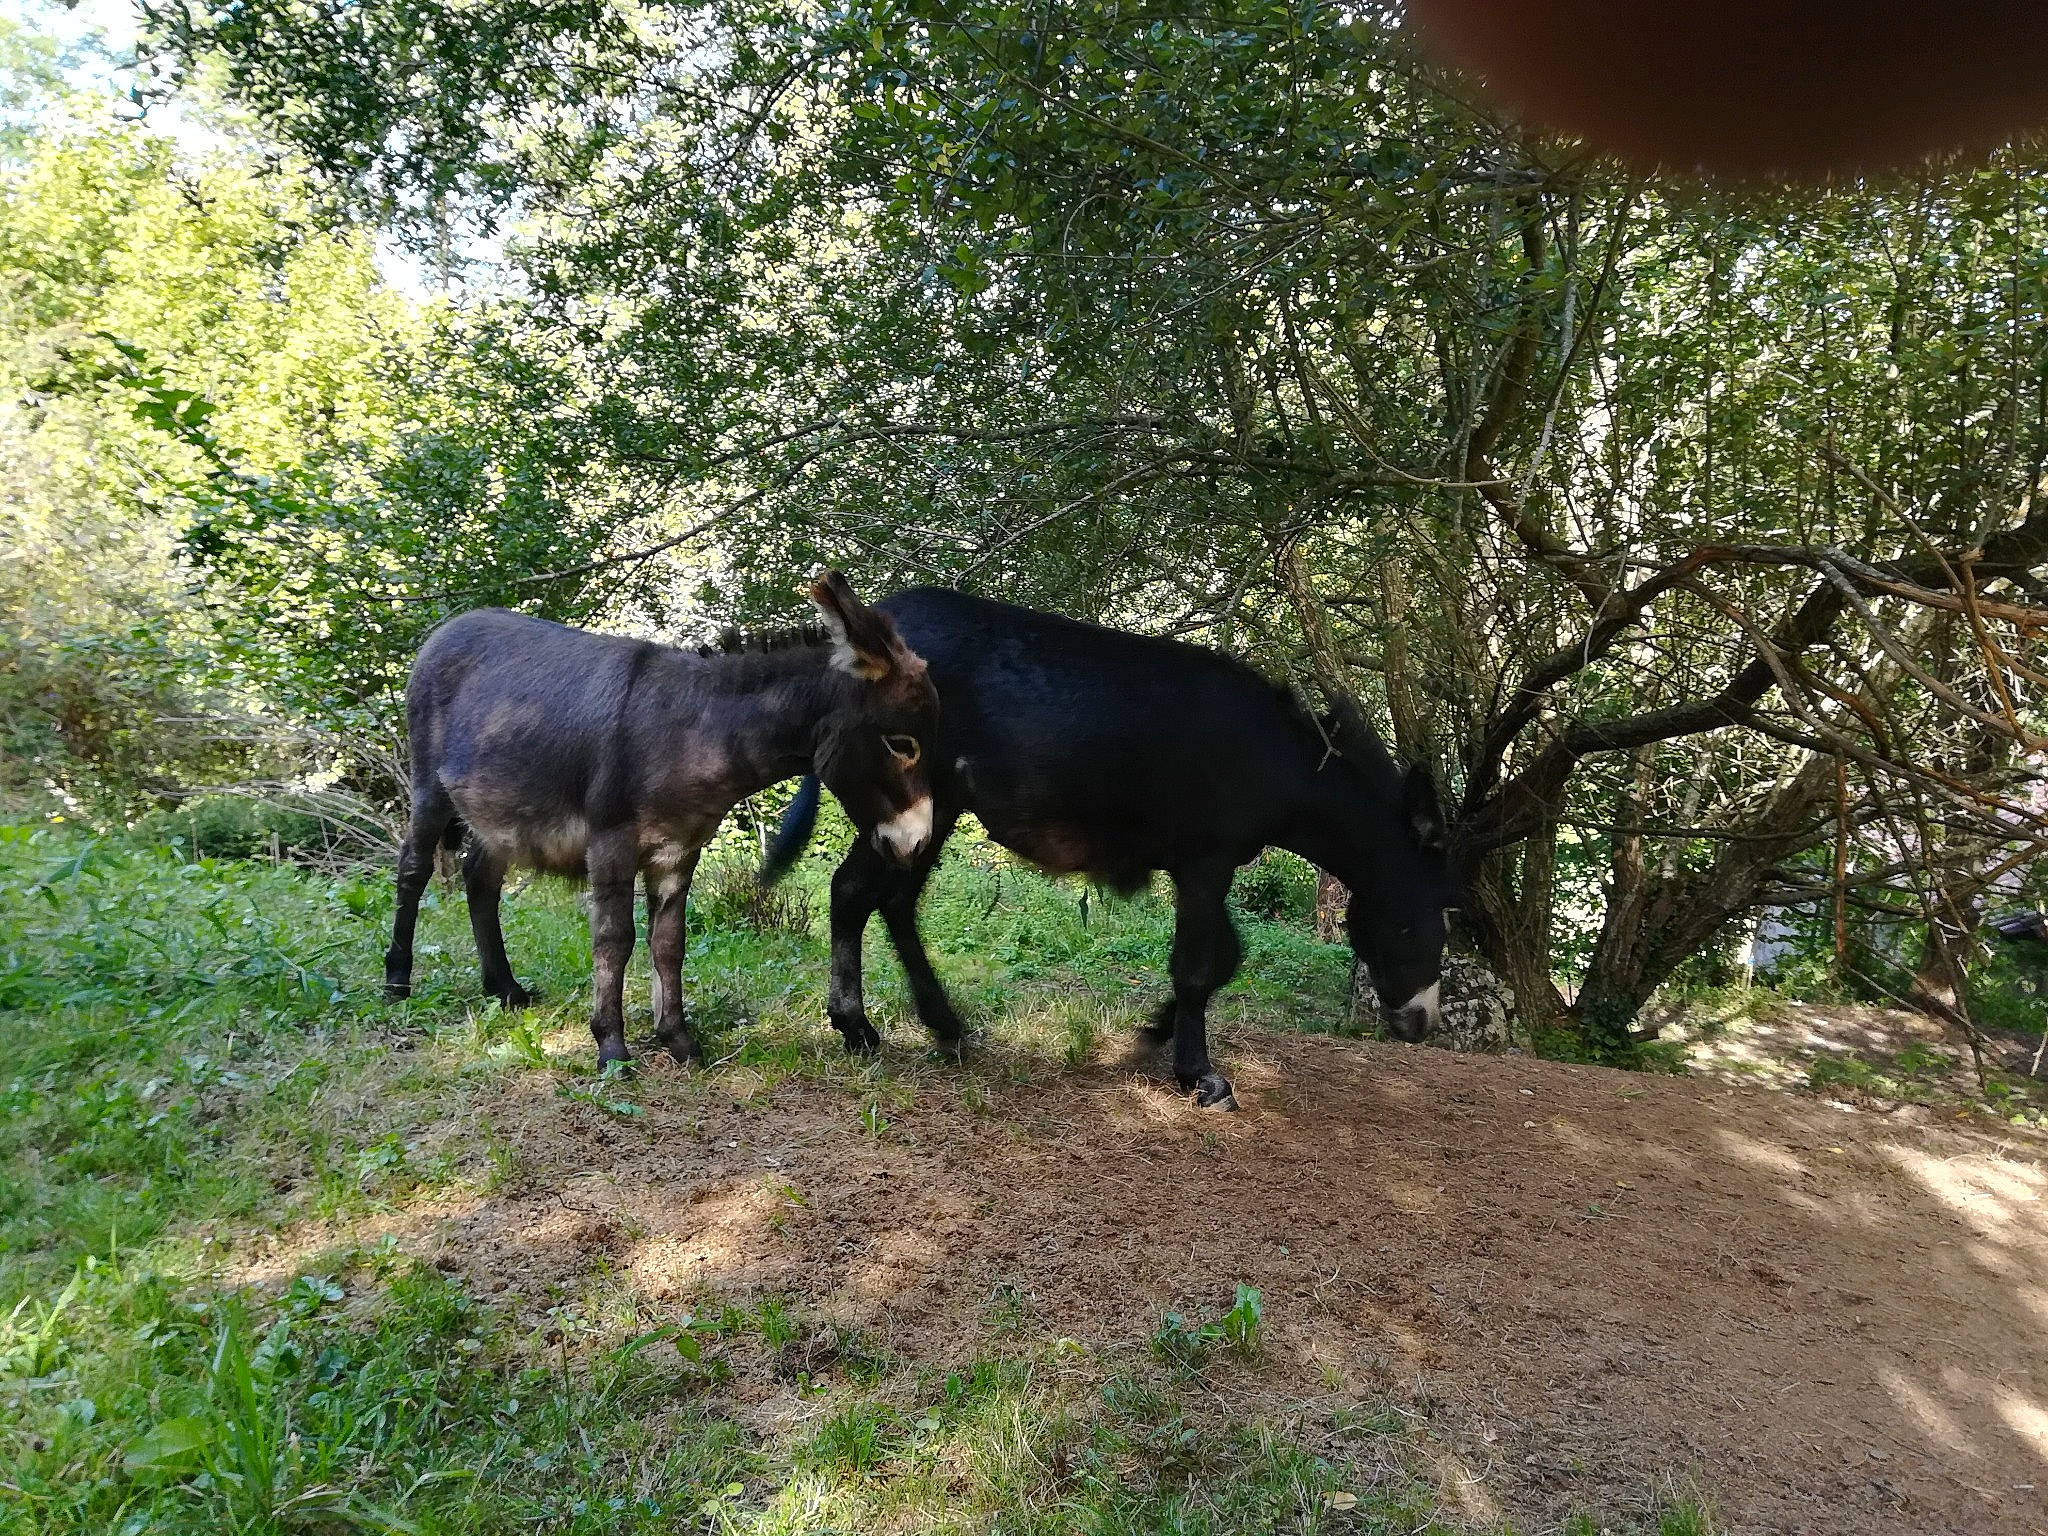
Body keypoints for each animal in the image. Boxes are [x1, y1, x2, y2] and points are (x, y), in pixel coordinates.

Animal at [385, 571, 938, 1069]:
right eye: (900, 744)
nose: (917, 844)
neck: (696, 733)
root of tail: (450, 626)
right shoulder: (610, 844)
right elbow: (615, 939)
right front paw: (610, 1047)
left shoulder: (678, 852)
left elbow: (670, 943)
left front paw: (678, 1040)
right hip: (431, 788)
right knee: (413, 870)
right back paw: (397, 982)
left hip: (498, 814)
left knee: (480, 878)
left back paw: (505, 989)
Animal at [762, 586, 1453, 1108]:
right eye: (1430, 920)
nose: (1422, 1024)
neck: (1280, 761)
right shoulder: (1206, 863)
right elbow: (1199, 965)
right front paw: (1200, 1075)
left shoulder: (1201, 866)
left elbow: (1225, 957)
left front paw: (1155, 1031)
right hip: (910, 804)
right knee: (854, 890)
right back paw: (858, 1027)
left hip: (934, 811)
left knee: (893, 902)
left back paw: (943, 1026)